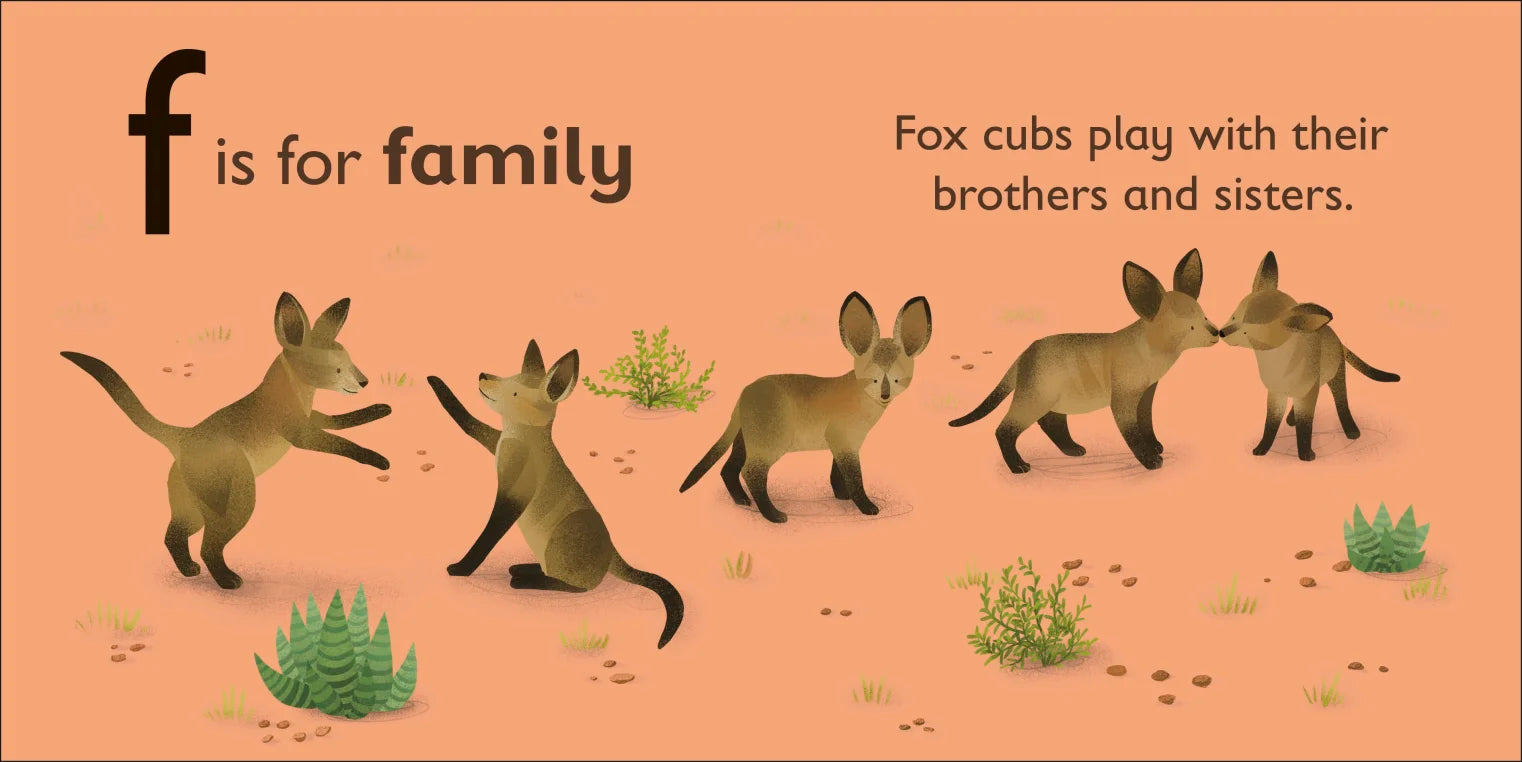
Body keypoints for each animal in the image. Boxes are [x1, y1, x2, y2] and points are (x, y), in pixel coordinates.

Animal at [59, 292, 392, 589]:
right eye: (337, 369)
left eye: (351, 362)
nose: (364, 382)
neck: (294, 393)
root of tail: (182, 435)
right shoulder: (299, 432)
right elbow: (342, 443)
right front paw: (378, 459)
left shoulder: (312, 419)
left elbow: (341, 419)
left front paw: (380, 409)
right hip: (236, 500)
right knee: (208, 546)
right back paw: (226, 580)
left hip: (193, 507)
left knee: (172, 535)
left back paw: (188, 570)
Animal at [427, 341, 684, 649]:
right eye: (509, 376)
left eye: (515, 391)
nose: (483, 375)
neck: (519, 436)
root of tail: (613, 556)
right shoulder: (493, 439)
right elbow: (467, 421)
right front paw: (436, 383)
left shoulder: (514, 493)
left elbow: (488, 534)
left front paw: (461, 568)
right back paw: (522, 569)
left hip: (563, 541)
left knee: (579, 586)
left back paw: (523, 581)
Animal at [679, 292, 932, 523]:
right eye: (875, 379)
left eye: (897, 379)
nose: (885, 394)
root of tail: (744, 392)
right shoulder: (843, 441)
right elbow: (854, 479)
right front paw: (866, 506)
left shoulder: (842, 442)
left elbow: (837, 474)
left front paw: (842, 497)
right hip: (771, 443)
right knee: (750, 473)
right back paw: (773, 515)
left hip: (746, 441)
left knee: (728, 470)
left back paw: (742, 500)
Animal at [949, 250, 1218, 472]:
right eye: (1190, 327)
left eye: (1204, 316)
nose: (1216, 332)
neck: (1151, 353)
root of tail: (1024, 354)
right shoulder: (1123, 400)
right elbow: (1133, 434)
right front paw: (1151, 460)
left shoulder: (1146, 395)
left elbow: (1147, 425)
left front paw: (1155, 447)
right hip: (1034, 398)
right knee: (1004, 430)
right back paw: (1018, 466)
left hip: (1051, 397)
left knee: (1050, 422)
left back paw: (1073, 450)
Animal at [1218, 251, 1400, 461]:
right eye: (1234, 316)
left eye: (1247, 331)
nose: (1221, 332)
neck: (1276, 363)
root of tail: (1332, 333)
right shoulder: (1276, 394)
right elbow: (1270, 425)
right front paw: (1262, 448)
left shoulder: (1305, 394)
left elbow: (1305, 427)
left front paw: (1305, 454)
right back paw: (1291, 418)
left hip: (1335, 378)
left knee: (1342, 402)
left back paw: (1351, 429)